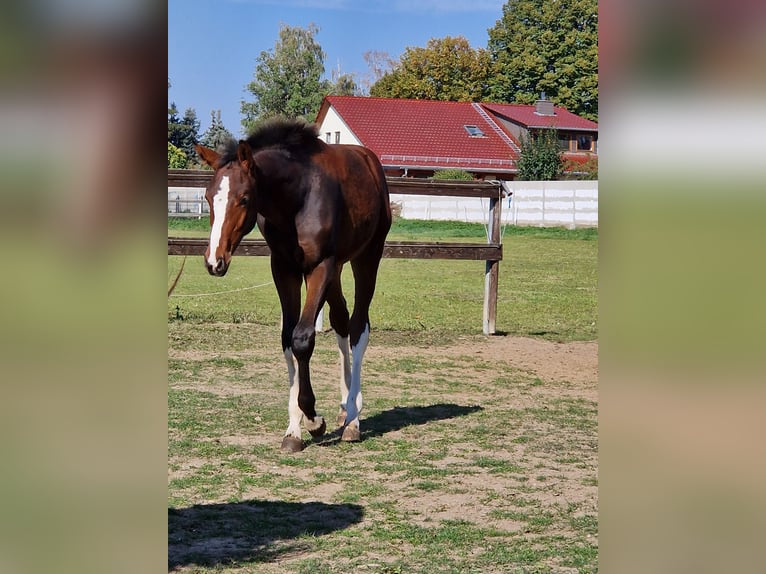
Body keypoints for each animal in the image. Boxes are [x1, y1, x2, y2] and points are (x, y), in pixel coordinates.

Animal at [194, 118, 391, 452]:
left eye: (244, 199)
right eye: (208, 198)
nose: (214, 261)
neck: (298, 198)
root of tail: (370, 161)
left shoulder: (319, 267)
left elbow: (302, 338)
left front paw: (313, 419)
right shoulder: (284, 269)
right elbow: (287, 338)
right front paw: (293, 430)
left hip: (366, 258)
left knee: (357, 328)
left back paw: (353, 419)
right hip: (338, 268)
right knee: (341, 321)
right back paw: (344, 407)